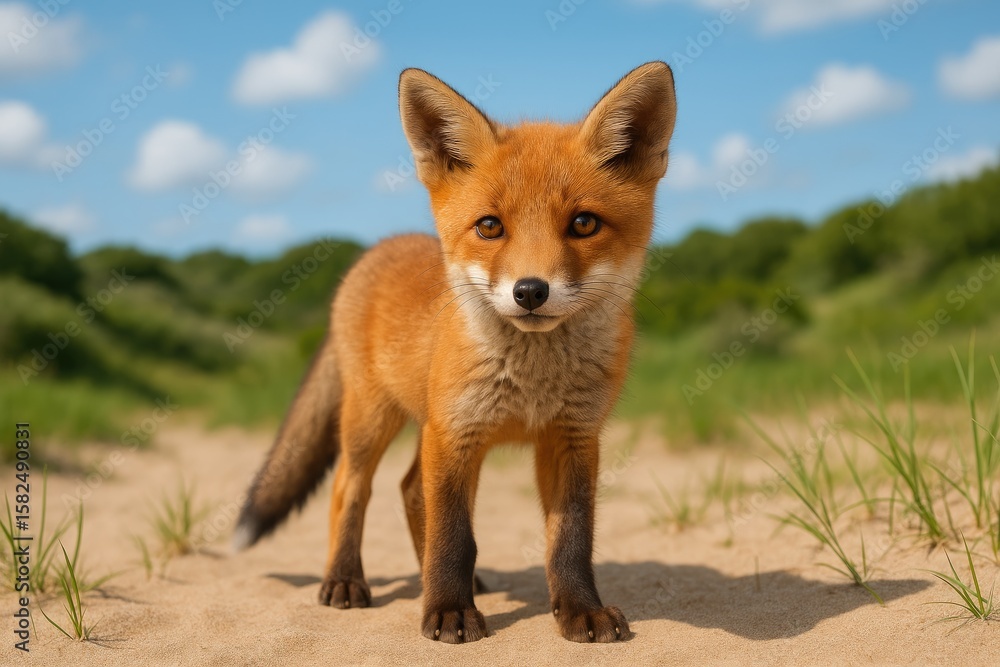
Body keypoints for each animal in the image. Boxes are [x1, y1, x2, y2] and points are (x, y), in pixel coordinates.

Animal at [232, 61, 677, 644]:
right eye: (490, 226)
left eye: (584, 223)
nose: (530, 291)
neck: (534, 381)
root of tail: (376, 249)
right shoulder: (456, 433)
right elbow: (453, 536)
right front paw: (447, 610)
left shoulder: (573, 438)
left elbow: (571, 540)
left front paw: (580, 610)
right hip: (373, 420)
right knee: (350, 489)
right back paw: (346, 580)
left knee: (408, 491)